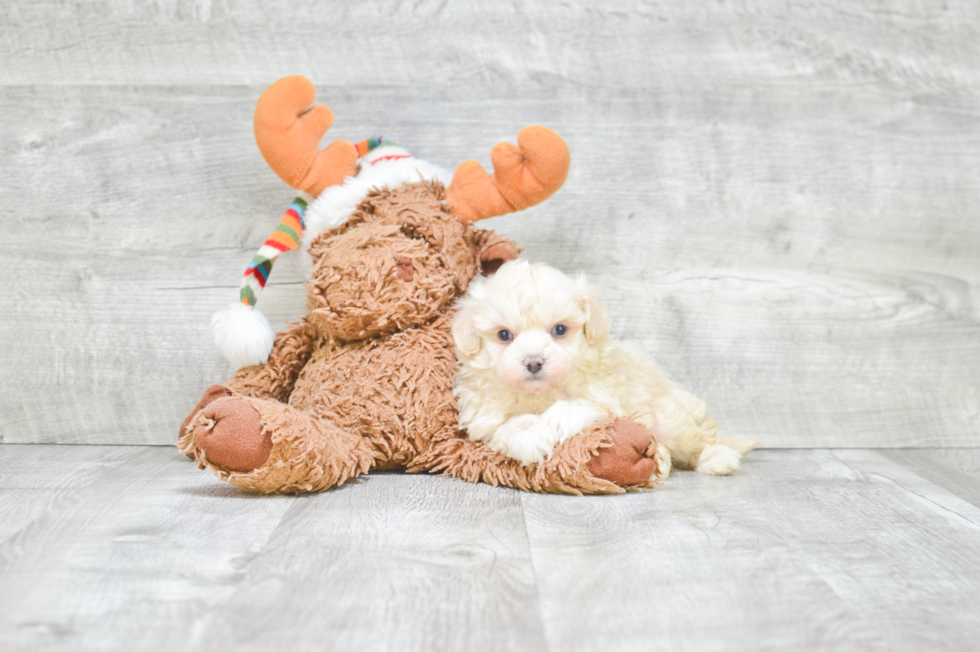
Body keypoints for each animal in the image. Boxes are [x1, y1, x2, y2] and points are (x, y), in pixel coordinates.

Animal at [452, 258, 756, 474]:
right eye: (504, 335)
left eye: (560, 329)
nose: (534, 361)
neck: (542, 393)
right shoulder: (482, 416)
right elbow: (508, 423)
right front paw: (531, 434)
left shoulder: (611, 394)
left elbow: (587, 403)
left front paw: (560, 416)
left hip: (670, 416)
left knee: (698, 440)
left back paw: (717, 458)